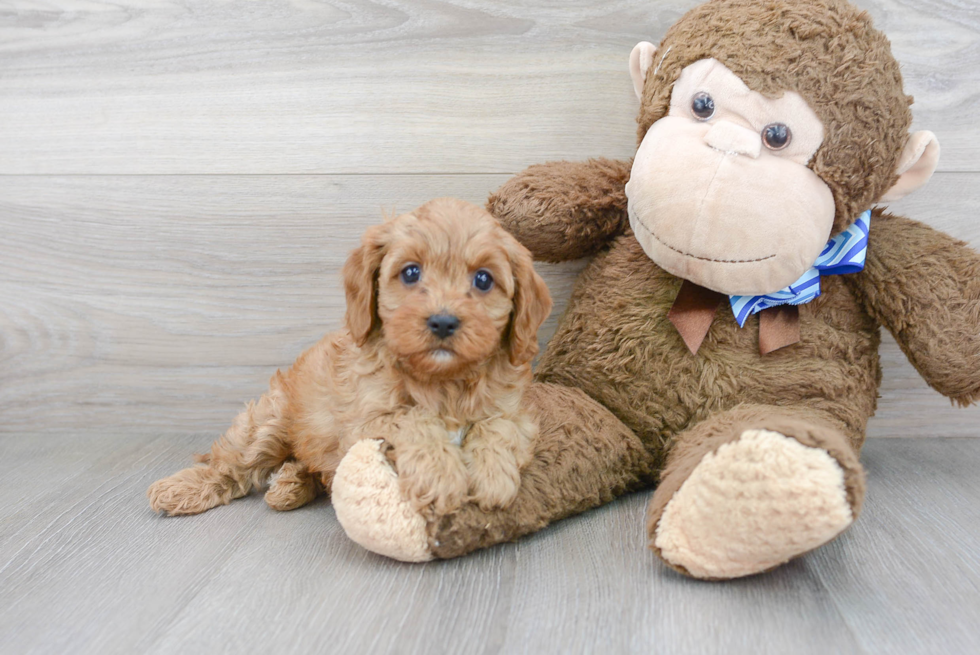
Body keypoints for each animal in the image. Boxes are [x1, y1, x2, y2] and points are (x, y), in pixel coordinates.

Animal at [150, 199, 556, 516]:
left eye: (484, 280)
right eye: (411, 272)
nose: (442, 321)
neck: (443, 380)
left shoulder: (515, 411)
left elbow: (498, 426)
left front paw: (492, 474)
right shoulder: (366, 421)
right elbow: (414, 419)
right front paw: (441, 474)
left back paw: (290, 484)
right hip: (269, 420)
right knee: (234, 461)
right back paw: (180, 489)